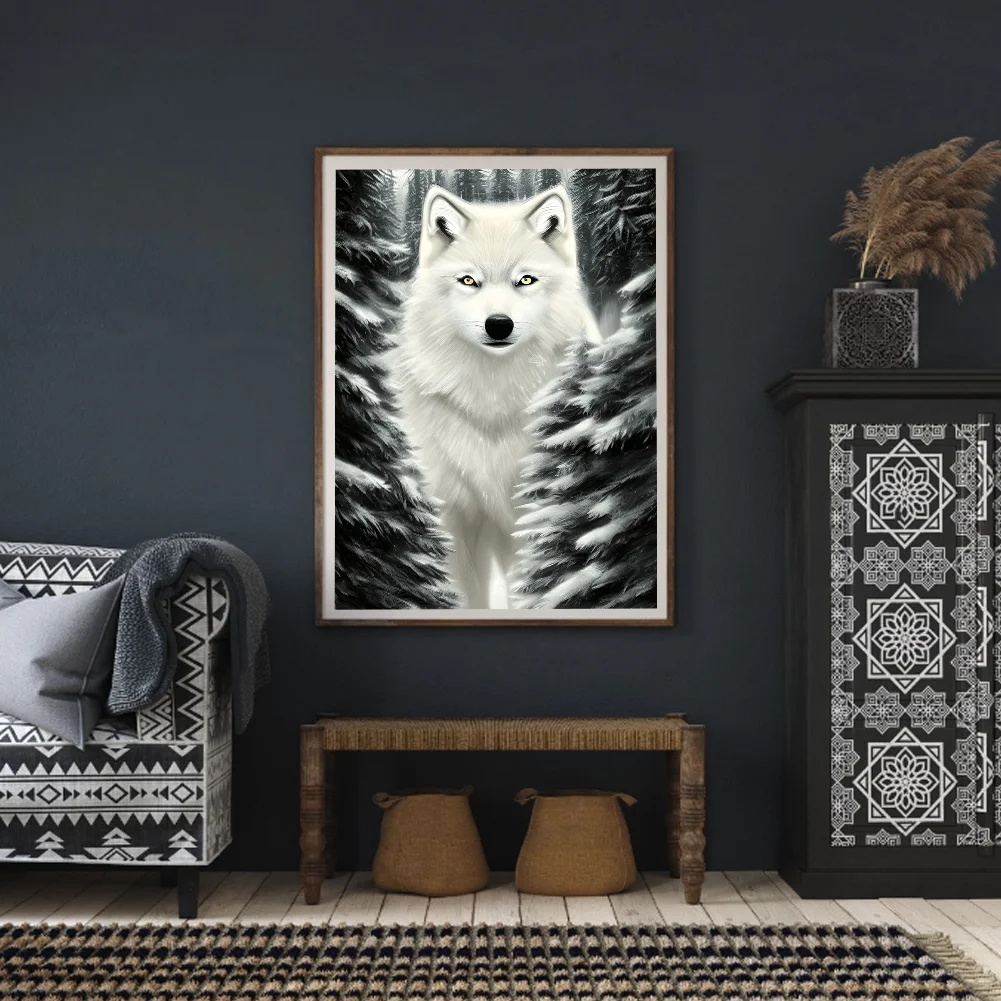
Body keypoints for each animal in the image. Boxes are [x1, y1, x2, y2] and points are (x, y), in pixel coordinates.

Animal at [390, 183, 600, 609]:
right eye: (469, 281)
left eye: (526, 280)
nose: (499, 325)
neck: (493, 397)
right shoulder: (453, 513)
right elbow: (461, 592)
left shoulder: (531, 513)